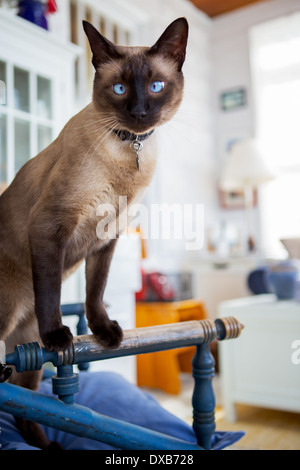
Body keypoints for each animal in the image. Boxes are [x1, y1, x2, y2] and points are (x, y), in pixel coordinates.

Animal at [0, 16, 188, 446]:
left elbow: (95, 293)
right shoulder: (50, 228)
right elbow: (53, 294)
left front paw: (104, 334)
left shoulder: (104, 239)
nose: (139, 112)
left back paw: (47, 445)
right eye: (119, 89)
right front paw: (59, 337)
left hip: (28, 357)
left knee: (24, 405)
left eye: (156, 86)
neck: (129, 150)